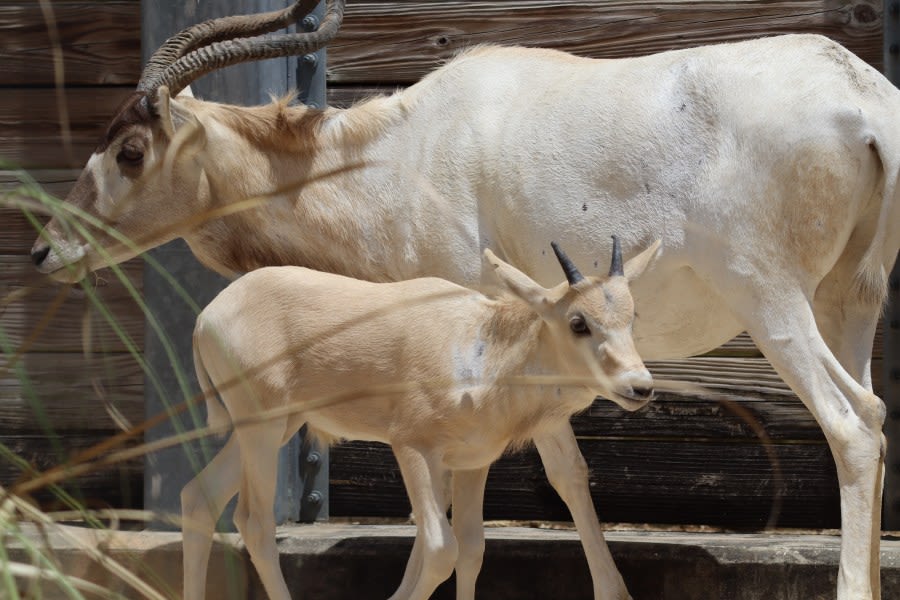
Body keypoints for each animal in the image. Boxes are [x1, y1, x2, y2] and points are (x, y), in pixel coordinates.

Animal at [185, 239, 660, 600]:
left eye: (631, 316)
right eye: (578, 322)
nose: (640, 386)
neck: (480, 349)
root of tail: (208, 315)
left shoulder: (471, 463)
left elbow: (471, 550)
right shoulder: (412, 447)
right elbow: (439, 549)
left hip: (279, 426)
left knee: (199, 496)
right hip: (261, 427)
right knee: (254, 522)